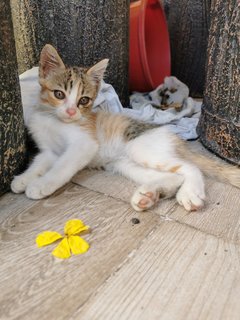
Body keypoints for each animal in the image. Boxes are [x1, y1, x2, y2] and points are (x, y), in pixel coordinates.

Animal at [11, 43, 240, 211]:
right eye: (59, 94)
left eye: (84, 100)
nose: (71, 112)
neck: (53, 118)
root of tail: (173, 136)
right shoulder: (49, 151)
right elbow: (40, 163)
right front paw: (23, 180)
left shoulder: (83, 144)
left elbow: (62, 166)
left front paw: (41, 185)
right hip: (123, 163)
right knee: (173, 176)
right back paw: (148, 195)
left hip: (140, 147)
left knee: (190, 167)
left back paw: (190, 193)